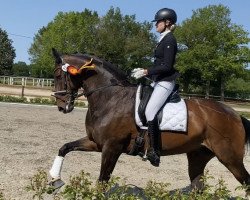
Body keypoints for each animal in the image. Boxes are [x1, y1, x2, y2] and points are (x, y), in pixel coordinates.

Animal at [49, 48, 250, 195]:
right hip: (198, 155)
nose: (61, 106)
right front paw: (55, 179)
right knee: (197, 187)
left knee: (245, 181)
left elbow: (102, 182)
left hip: (230, 158)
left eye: (58, 75)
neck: (111, 97)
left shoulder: (111, 147)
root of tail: (234, 114)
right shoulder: (96, 143)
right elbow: (64, 147)